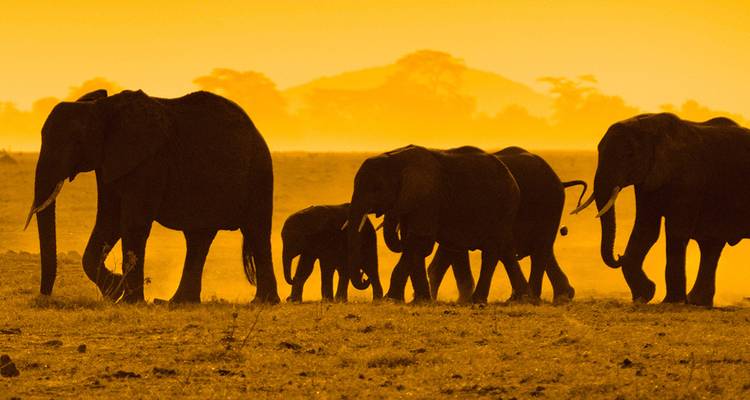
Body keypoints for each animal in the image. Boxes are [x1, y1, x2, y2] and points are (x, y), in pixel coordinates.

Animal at [26, 88, 280, 304]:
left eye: (76, 141)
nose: (45, 297)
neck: (102, 108)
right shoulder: (110, 161)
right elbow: (109, 221)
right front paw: (115, 291)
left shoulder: (149, 161)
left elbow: (132, 223)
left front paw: (127, 300)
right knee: (198, 238)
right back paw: (177, 303)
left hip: (258, 173)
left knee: (255, 231)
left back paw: (262, 302)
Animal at [345, 145, 528, 303]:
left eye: (377, 188)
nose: (364, 277)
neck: (396, 158)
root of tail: (512, 179)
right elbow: (415, 243)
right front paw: (419, 301)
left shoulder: (428, 198)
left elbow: (419, 240)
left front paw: (392, 299)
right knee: (505, 251)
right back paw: (519, 298)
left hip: (502, 208)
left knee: (492, 251)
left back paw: (478, 300)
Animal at [572, 112, 750, 306]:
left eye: (629, 155)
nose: (618, 257)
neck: (651, 127)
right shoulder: (648, 181)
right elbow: (645, 230)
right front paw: (644, 295)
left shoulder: (688, 181)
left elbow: (676, 233)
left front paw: (671, 302)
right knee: (711, 246)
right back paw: (697, 302)